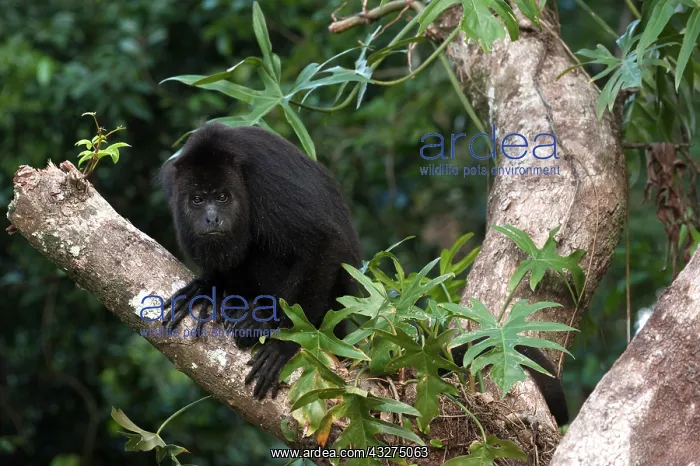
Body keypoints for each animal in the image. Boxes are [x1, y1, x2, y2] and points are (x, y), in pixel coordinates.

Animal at [159, 122, 362, 399]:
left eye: (222, 197)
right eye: (197, 199)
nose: (212, 219)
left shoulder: (268, 179)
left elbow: (325, 241)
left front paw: (285, 342)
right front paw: (207, 287)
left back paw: (260, 317)